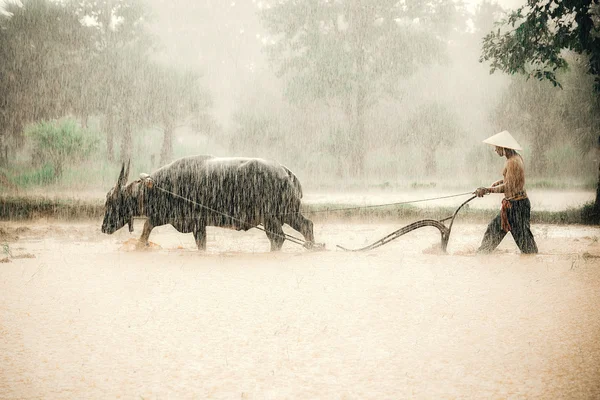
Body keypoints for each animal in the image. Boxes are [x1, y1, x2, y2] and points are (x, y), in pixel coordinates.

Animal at [101, 155, 316, 250]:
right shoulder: (187, 222)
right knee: (307, 225)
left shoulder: (191, 221)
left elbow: (146, 227)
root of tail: (285, 171)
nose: (103, 227)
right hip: (288, 213)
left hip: (270, 216)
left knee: (278, 237)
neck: (161, 186)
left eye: (111, 202)